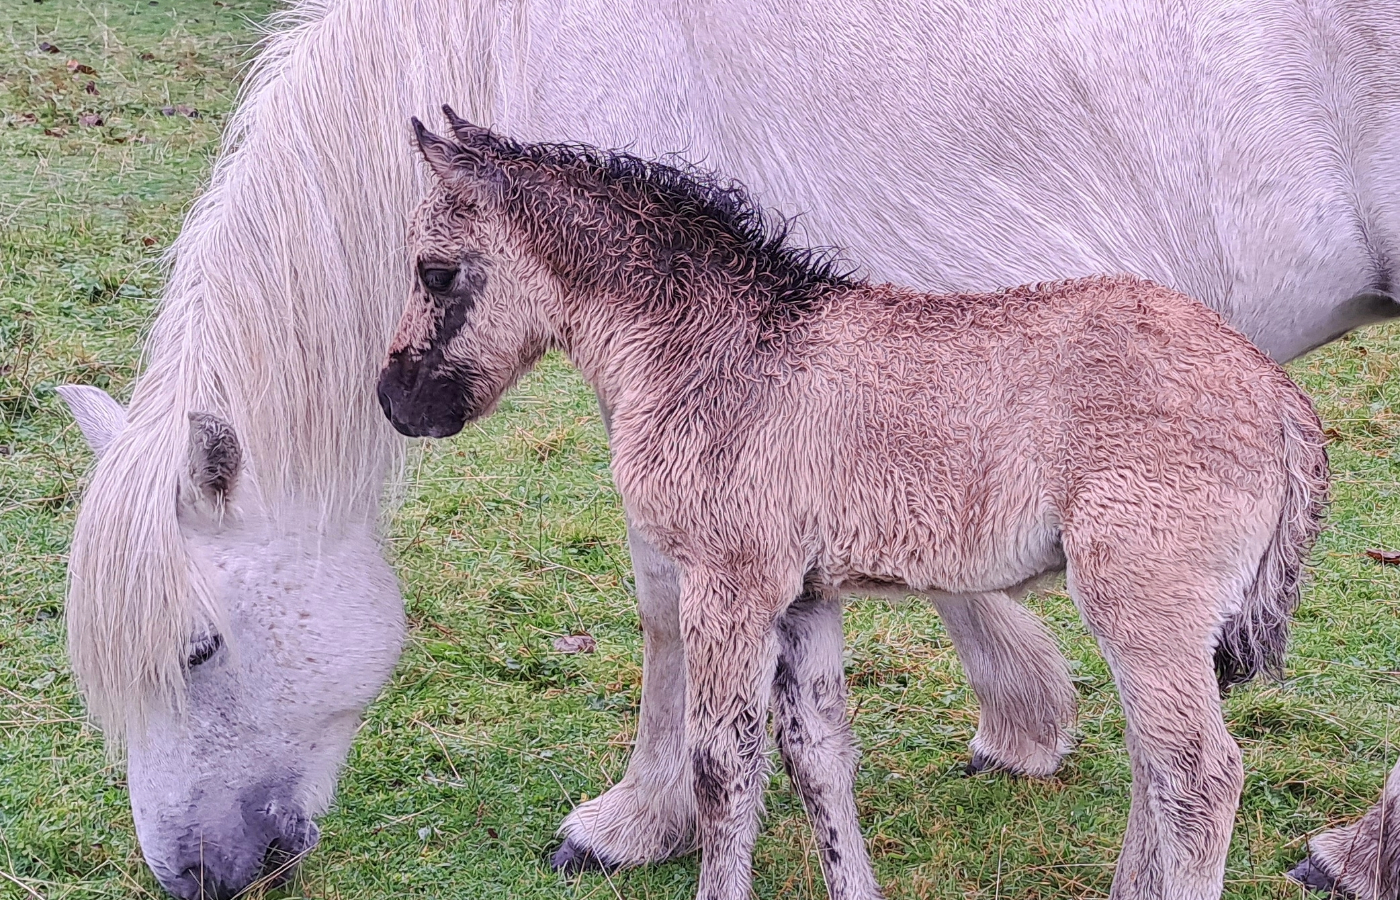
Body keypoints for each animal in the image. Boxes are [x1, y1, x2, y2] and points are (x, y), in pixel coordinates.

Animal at [60, 1, 1400, 900]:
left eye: (197, 648)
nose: (193, 872)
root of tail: (1279, 403)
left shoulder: (729, 567)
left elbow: (709, 724)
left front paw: (632, 824)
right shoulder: (806, 584)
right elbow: (815, 755)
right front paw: (1010, 725)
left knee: (1199, 772)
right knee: (1166, 761)